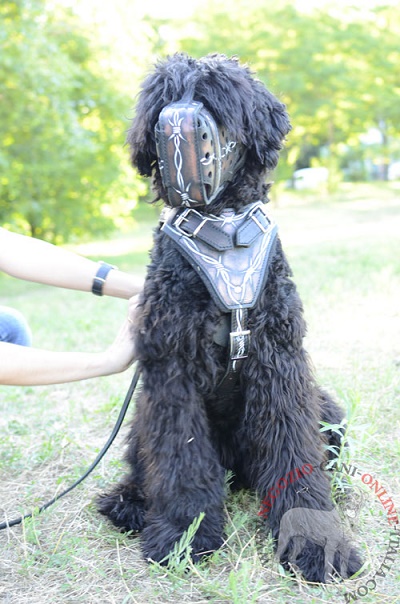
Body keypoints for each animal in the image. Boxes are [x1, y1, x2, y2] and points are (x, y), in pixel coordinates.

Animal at [97, 54, 362, 584]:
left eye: (211, 97)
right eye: (163, 98)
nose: (174, 126)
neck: (223, 232)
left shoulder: (279, 363)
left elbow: (295, 453)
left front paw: (314, 541)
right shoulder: (172, 375)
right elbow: (181, 459)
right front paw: (184, 535)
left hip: (326, 407)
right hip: (143, 417)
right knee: (146, 465)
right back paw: (130, 503)